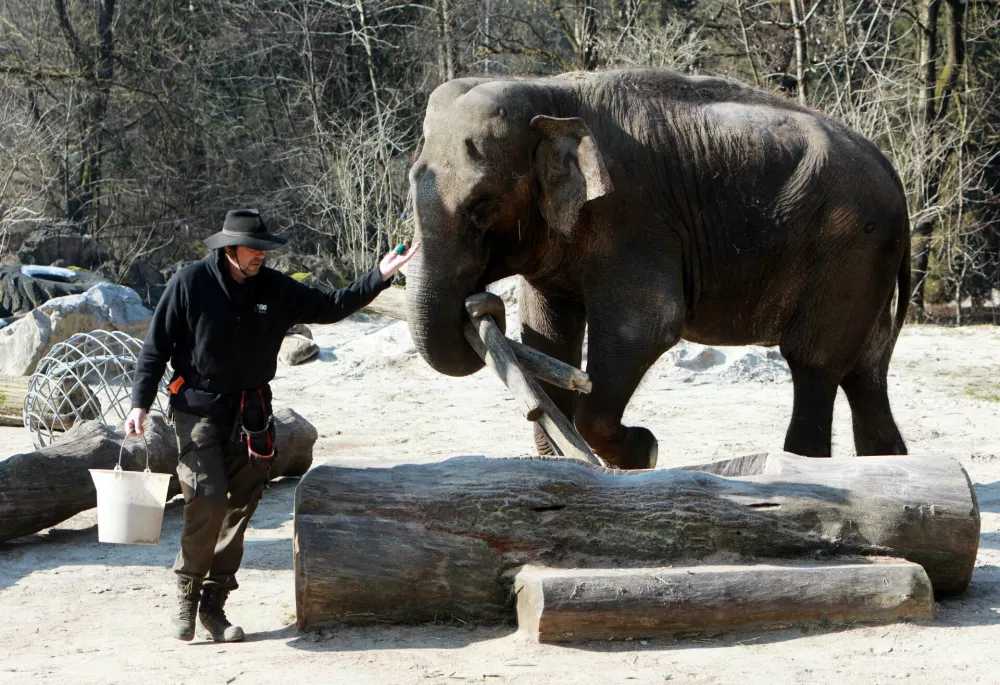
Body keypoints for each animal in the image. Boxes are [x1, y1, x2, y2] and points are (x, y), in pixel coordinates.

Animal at [404, 67, 916, 468]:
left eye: (482, 203)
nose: (481, 302)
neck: (546, 92)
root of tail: (892, 172)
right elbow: (547, 333)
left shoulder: (634, 218)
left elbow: (646, 327)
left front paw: (646, 453)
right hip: (868, 262)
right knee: (865, 374)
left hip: (849, 249)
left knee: (814, 363)